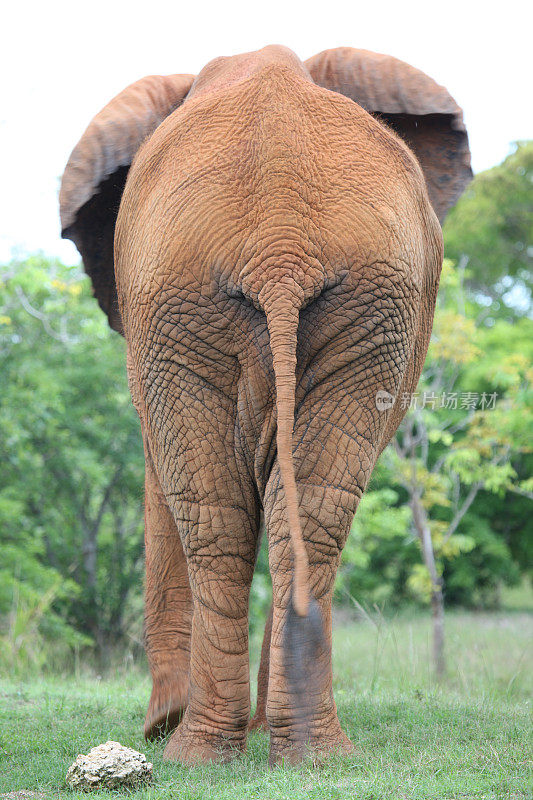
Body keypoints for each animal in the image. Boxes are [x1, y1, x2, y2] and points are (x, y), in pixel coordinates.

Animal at [60, 42, 472, 764]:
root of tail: (280, 247)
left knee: (215, 512)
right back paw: (304, 754)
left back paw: (190, 746)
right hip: (356, 305)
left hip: (191, 302)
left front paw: (158, 724)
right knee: (306, 507)